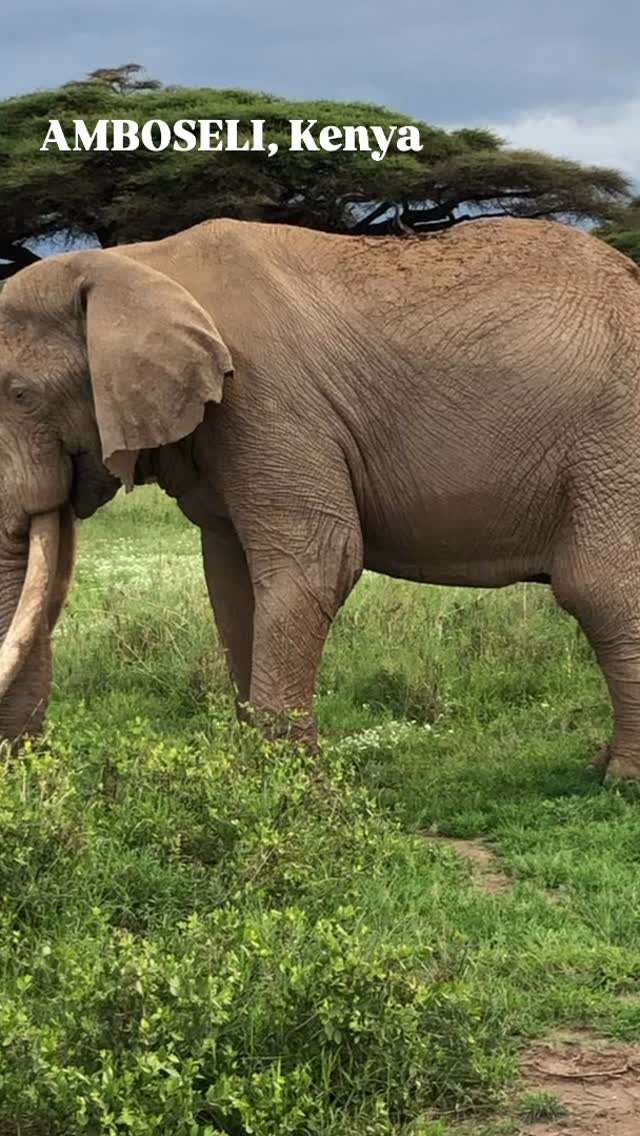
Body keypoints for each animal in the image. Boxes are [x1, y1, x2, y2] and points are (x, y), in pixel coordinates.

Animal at [0, 216, 639, 777]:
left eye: (20, 395)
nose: (29, 761)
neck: (138, 263)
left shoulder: (267, 398)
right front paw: (256, 770)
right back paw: (600, 764)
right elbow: (231, 582)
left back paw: (620, 778)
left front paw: (287, 780)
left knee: (599, 587)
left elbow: (315, 561)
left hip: (614, 440)